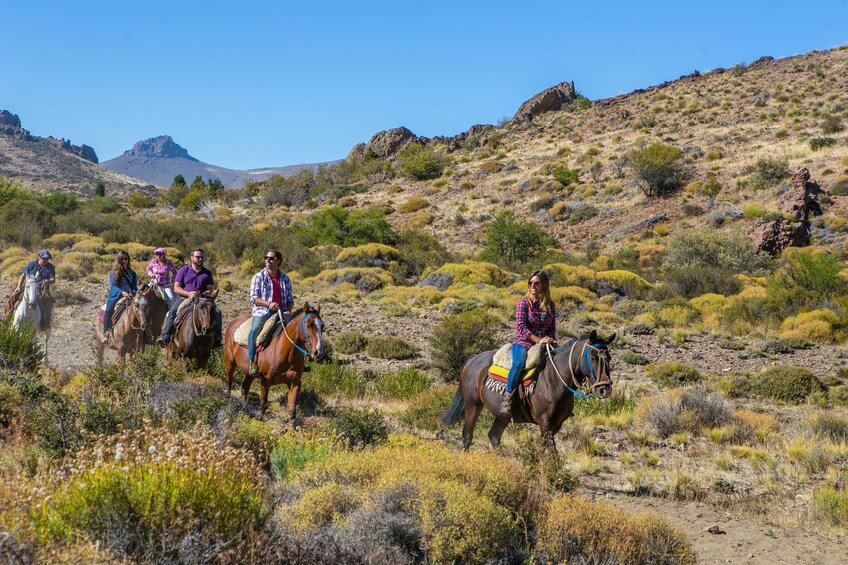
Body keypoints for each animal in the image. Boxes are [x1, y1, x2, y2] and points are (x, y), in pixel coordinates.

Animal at [440, 328, 612, 452]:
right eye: (593, 357)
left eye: (609, 358)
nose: (605, 389)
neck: (554, 380)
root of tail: (472, 359)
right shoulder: (545, 421)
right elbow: (552, 452)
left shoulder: (556, 424)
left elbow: (544, 451)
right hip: (472, 405)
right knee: (467, 436)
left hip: (502, 415)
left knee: (494, 436)